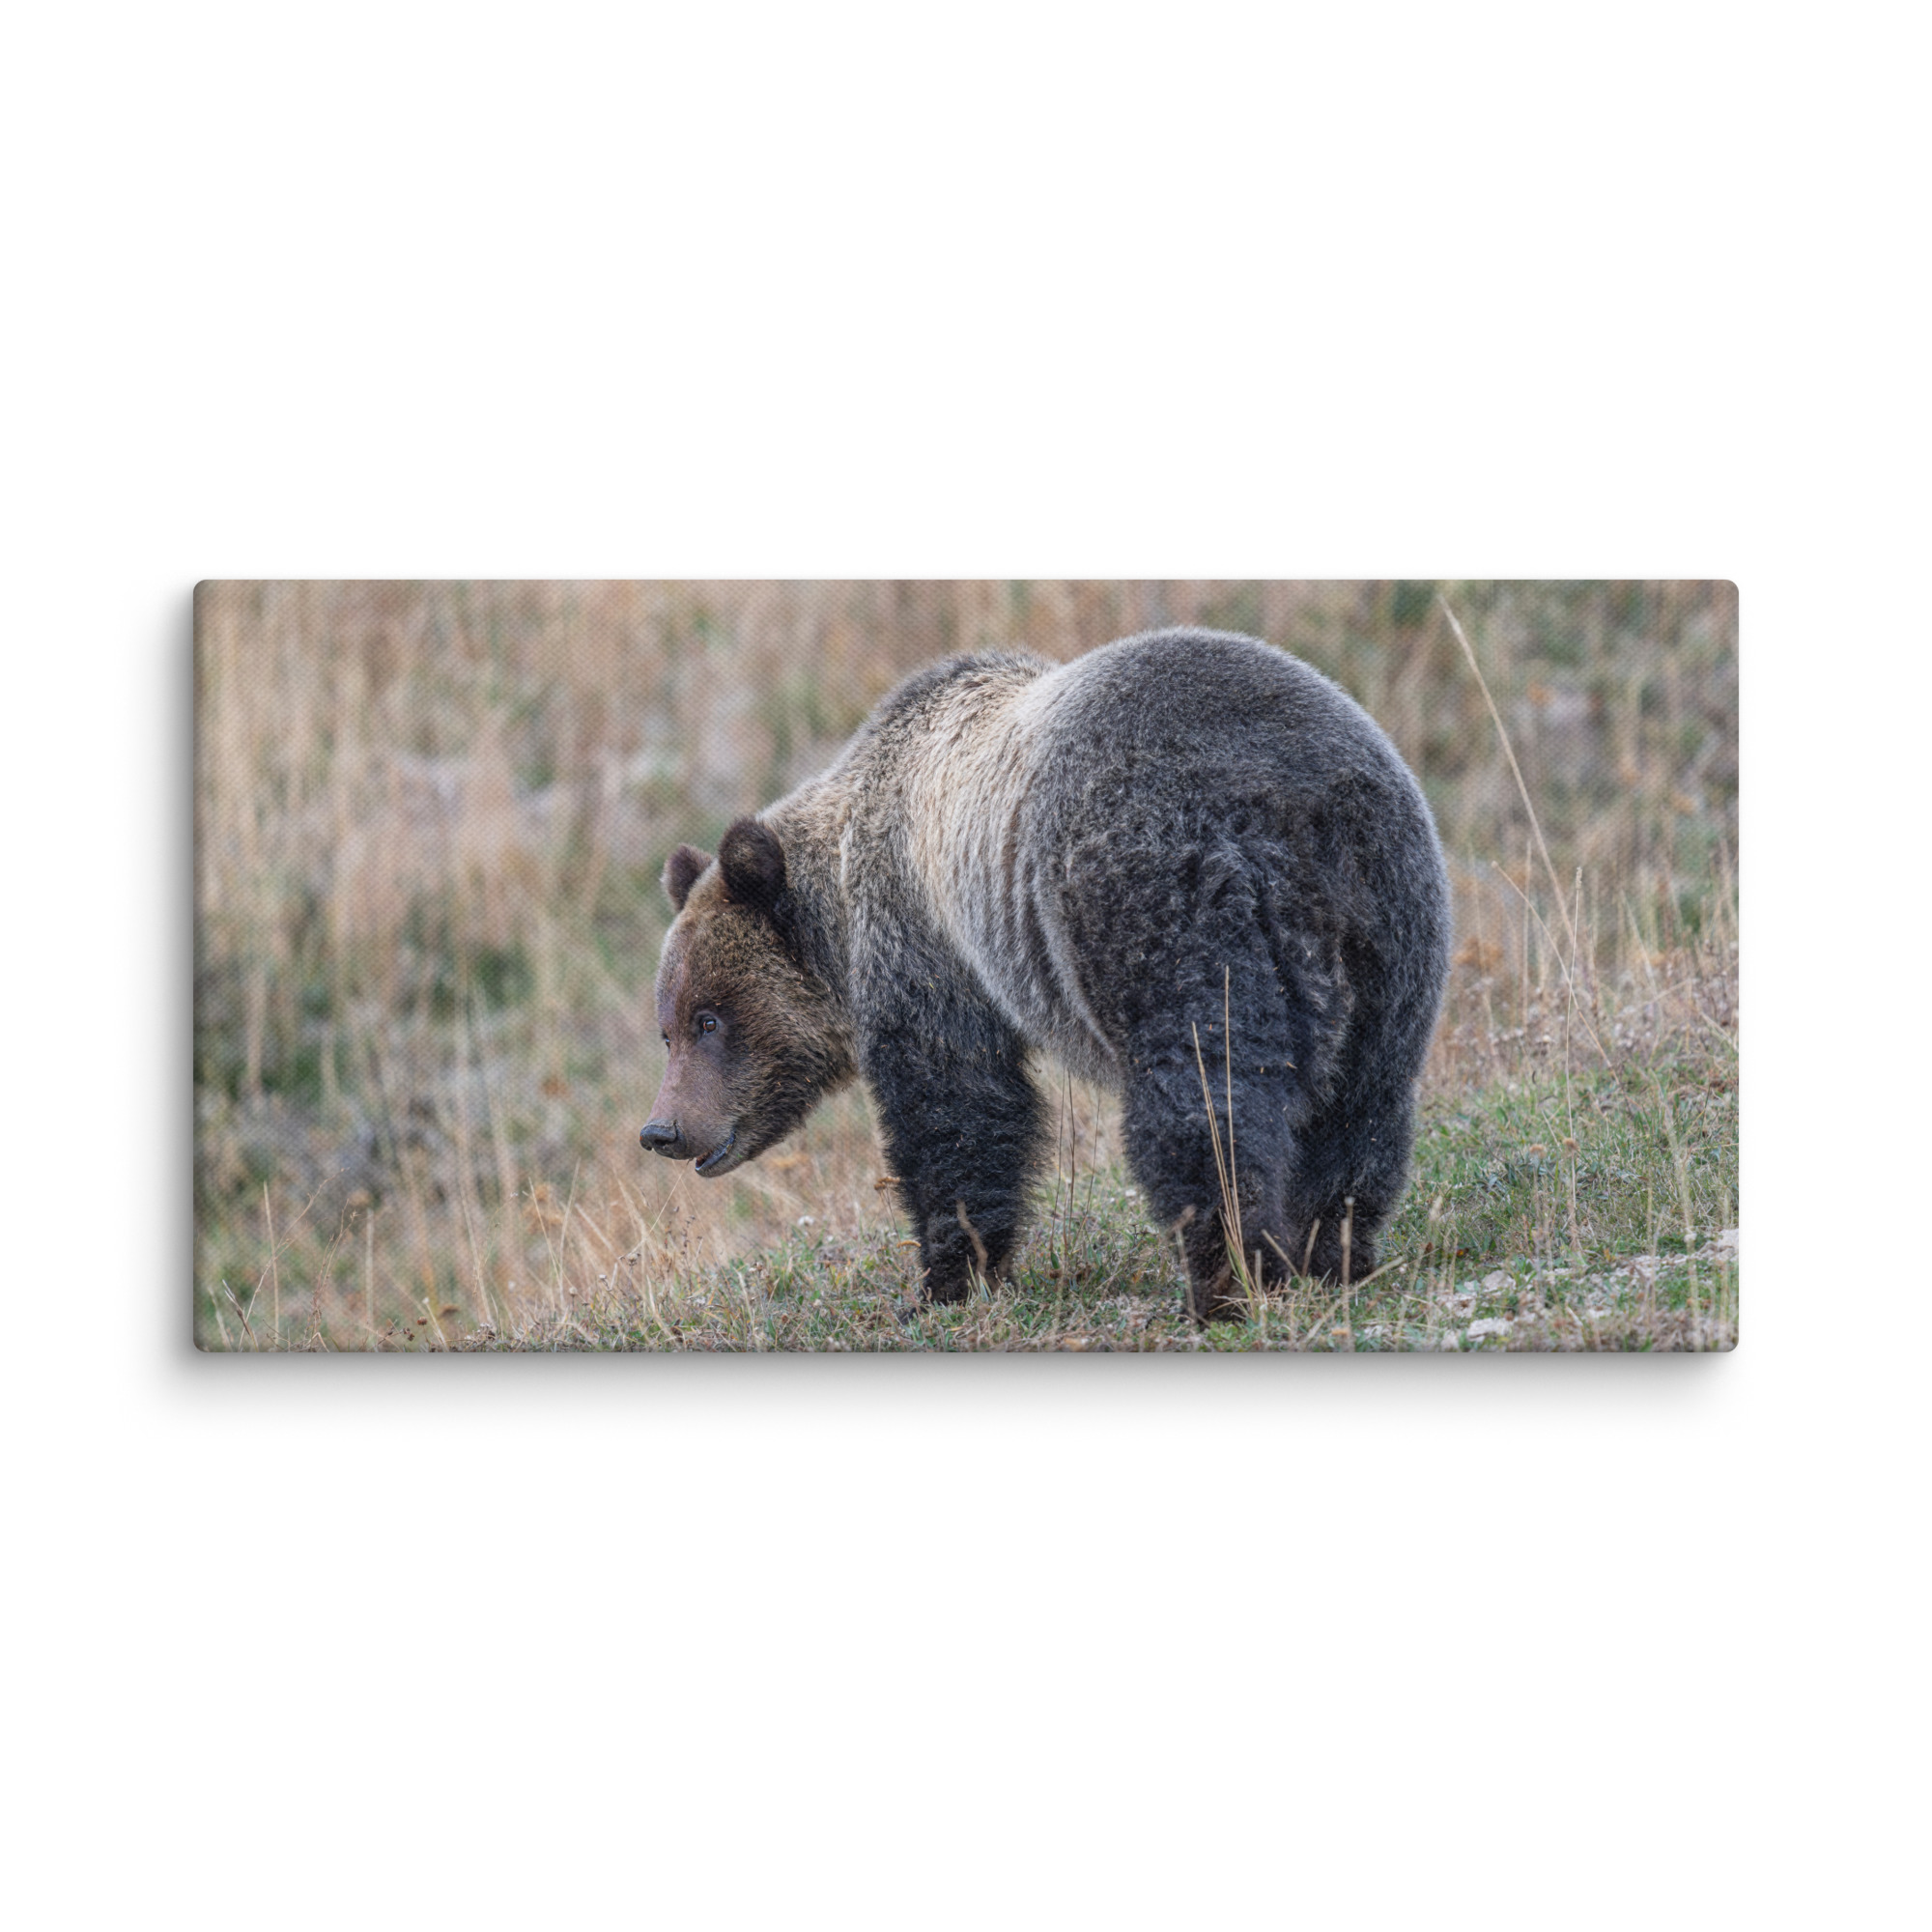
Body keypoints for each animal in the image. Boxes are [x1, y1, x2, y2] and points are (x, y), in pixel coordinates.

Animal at [640, 627, 1450, 1324]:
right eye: (668, 1027)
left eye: (709, 1018)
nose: (663, 1129)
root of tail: (1293, 806)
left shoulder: (927, 942)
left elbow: (957, 1107)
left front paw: (945, 1279)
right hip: (1390, 922)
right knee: (1362, 1102)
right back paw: (1332, 1253)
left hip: (1160, 899)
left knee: (1204, 1099)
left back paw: (1226, 1279)